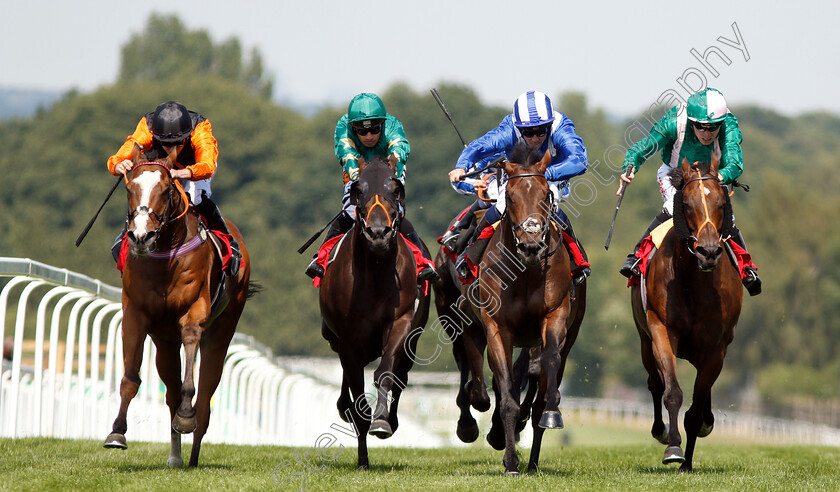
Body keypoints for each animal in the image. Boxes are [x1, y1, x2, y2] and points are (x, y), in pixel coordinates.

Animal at [102, 160, 253, 468]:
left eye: (164, 190)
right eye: (129, 189)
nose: (141, 236)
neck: (164, 254)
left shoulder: (194, 311)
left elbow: (191, 363)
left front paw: (186, 414)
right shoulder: (136, 315)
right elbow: (130, 377)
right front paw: (117, 432)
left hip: (223, 328)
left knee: (206, 390)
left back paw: (193, 451)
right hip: (164, 341)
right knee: (170, 391)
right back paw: (176, 457)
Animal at [318, 154, 430, 468]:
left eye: (396, 188)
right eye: (358, 189)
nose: (378, 233)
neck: (377, 274)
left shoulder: (400, 321)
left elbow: (385, 373)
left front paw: (381, 420)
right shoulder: (346, 337)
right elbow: (356, 390)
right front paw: (363, 458)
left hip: (414, 338)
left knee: (401, 376)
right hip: (334, 337)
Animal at [456, 144, 588, 474]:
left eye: (546, 195)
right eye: (511, 196)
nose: (530, 245)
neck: (525, 272)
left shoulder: (555, 316)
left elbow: (548, 366)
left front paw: (550, 414)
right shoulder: (496, 327)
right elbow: (505, 394)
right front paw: (510, 460)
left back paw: (533, 457)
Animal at [632, 156, 744, 470]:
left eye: (721, 202)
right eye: (686, 204)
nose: (709, 251)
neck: (693, 282)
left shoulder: (717, 347)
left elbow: (696, 407)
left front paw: (688, 461)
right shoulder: (661, 330)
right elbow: (672, 391)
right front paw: (673, 447)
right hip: (645, 341)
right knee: (654, 382)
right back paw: (660, 430)